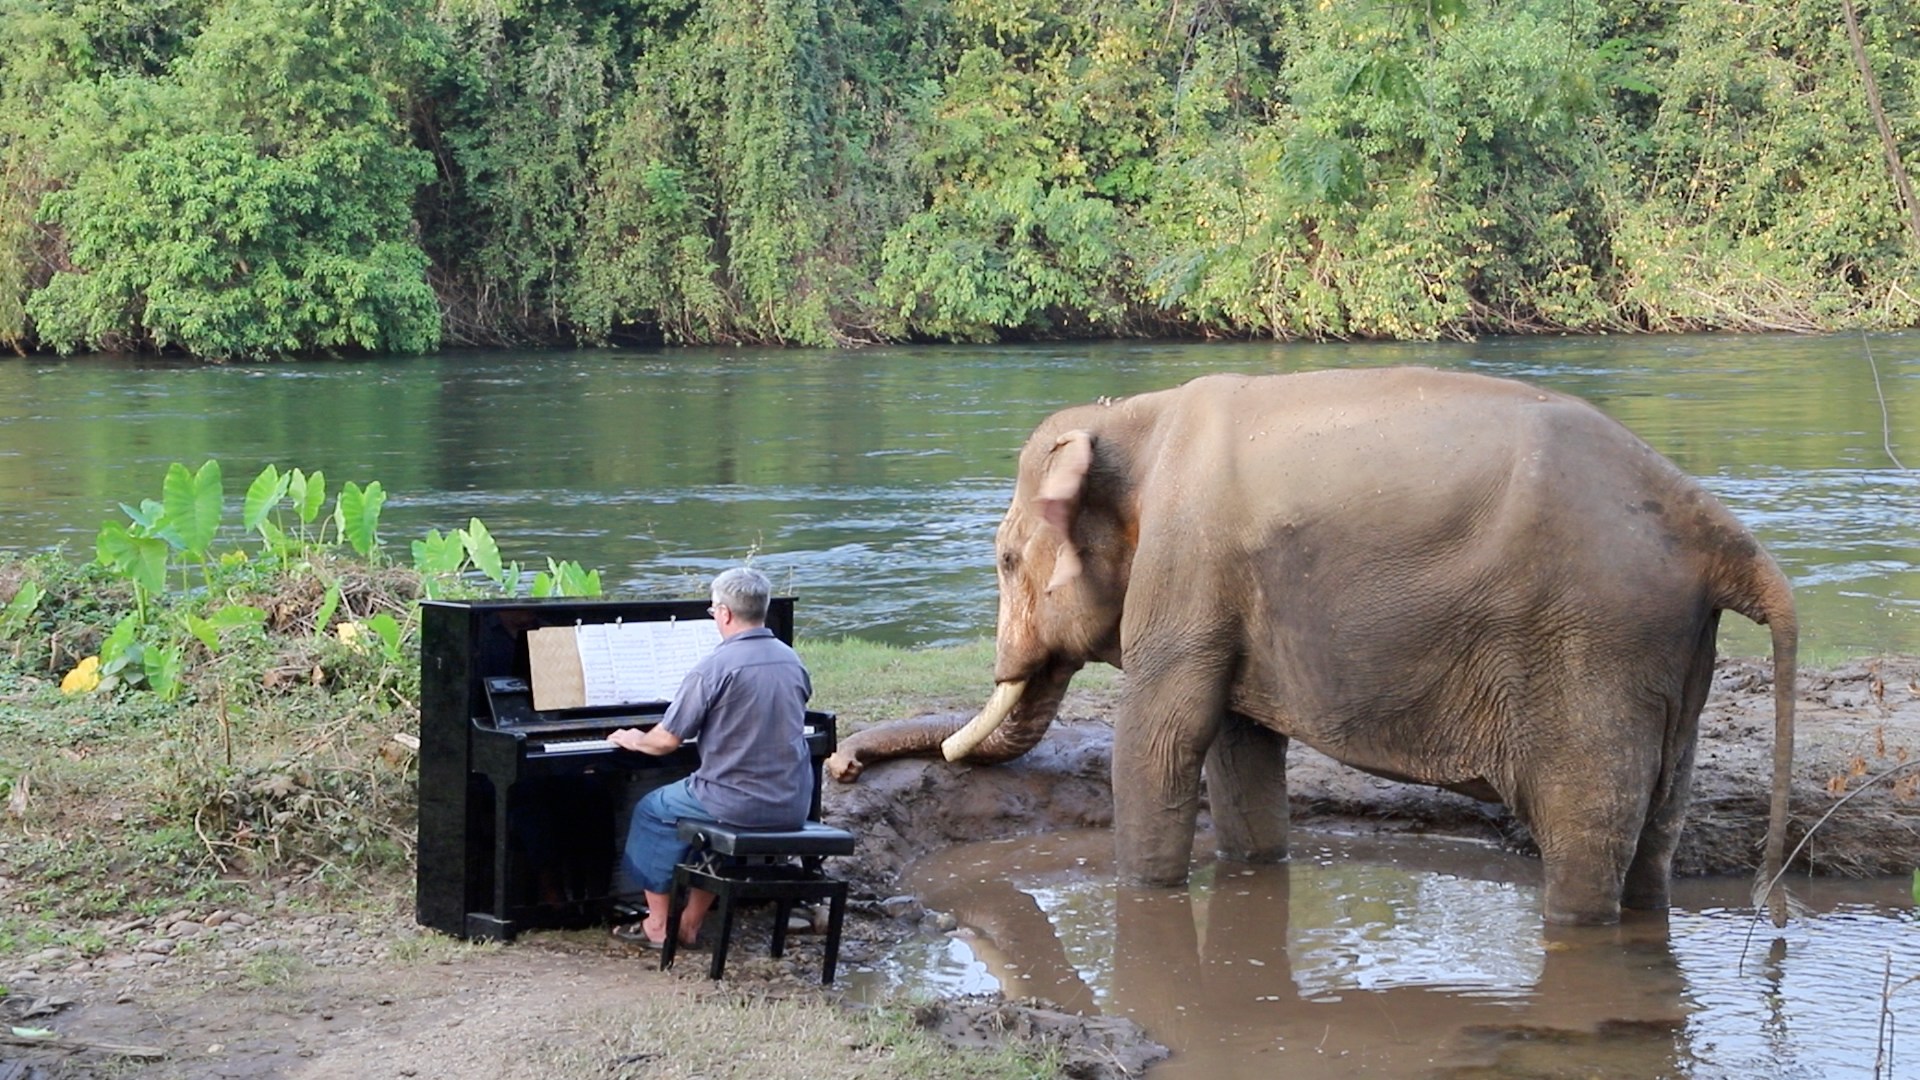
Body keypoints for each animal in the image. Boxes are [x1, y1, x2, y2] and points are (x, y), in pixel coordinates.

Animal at [829, 365, 1797, 922]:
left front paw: (1139, 894)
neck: (1136, 415)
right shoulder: (1226, 597)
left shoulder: (1186, 568)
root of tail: (1717, 531)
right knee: (1659, 825)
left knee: (1588, 831)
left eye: (1002, 561)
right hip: (1670, 660)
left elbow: (1161, 741)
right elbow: (1238, 748)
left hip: (1592, 647)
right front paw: (1252, 869)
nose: (839, 764)